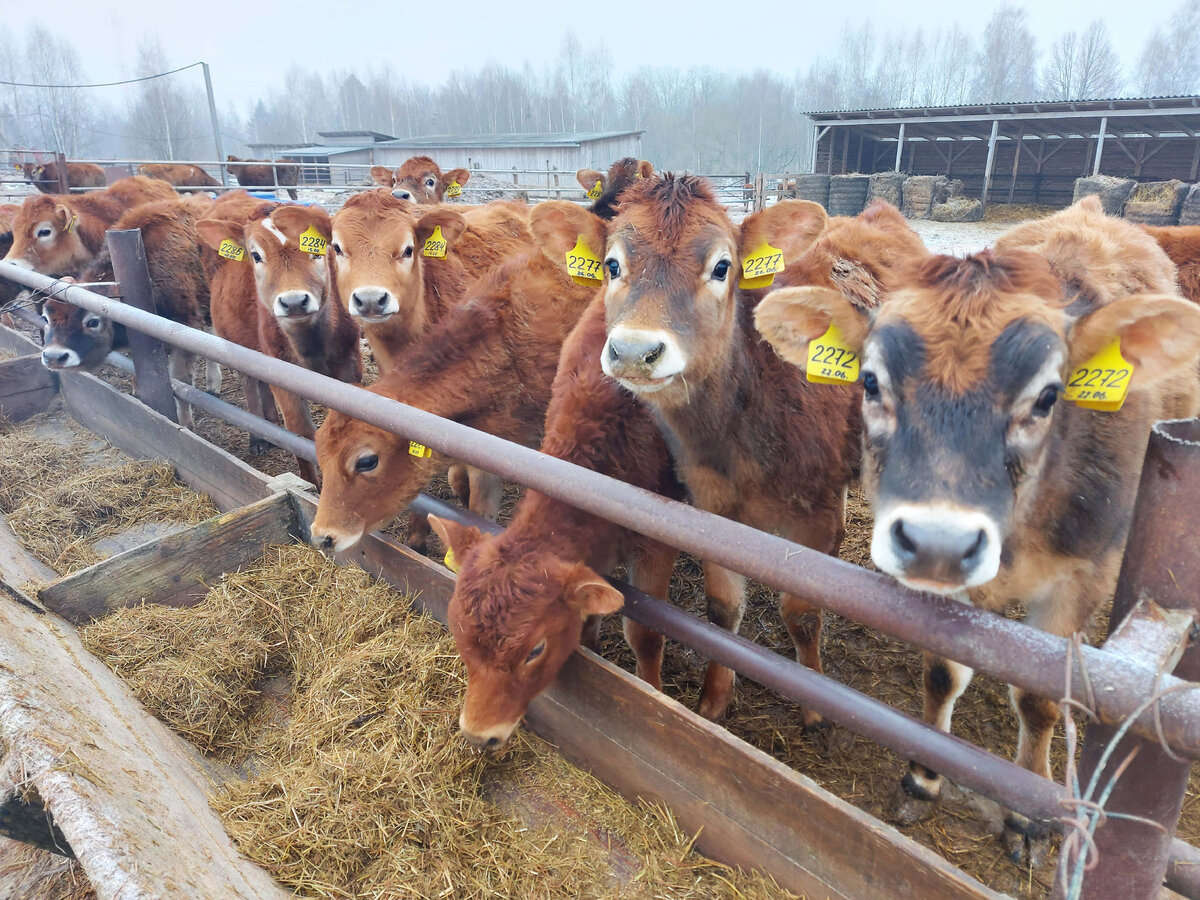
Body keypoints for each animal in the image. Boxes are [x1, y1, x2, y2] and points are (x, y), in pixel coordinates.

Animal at [198, 202, 360, 487]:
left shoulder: (350, 370)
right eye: (255, 255)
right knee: (250, 381)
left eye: (318, 249)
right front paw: (312, 486)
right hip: (237, 344)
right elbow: (300, 434)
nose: (294, 302)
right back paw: (258, 437)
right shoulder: (284, 375)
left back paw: (271, 423)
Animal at [535, 177, 916, 724]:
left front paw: (813, 704)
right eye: (611, 265)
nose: (634, 352)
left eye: (721, 267)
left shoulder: (812, 514)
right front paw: (714, 698)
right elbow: (721, 609)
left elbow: (802, 614)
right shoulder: (714, 512)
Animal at [753, 195, 1200, 868]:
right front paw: (923, 776)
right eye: (870, 382)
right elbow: (943, 672)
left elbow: (1040, 696)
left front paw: (1028, 815)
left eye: (1048, 396)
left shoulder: (1083, 579)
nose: (938, 543)